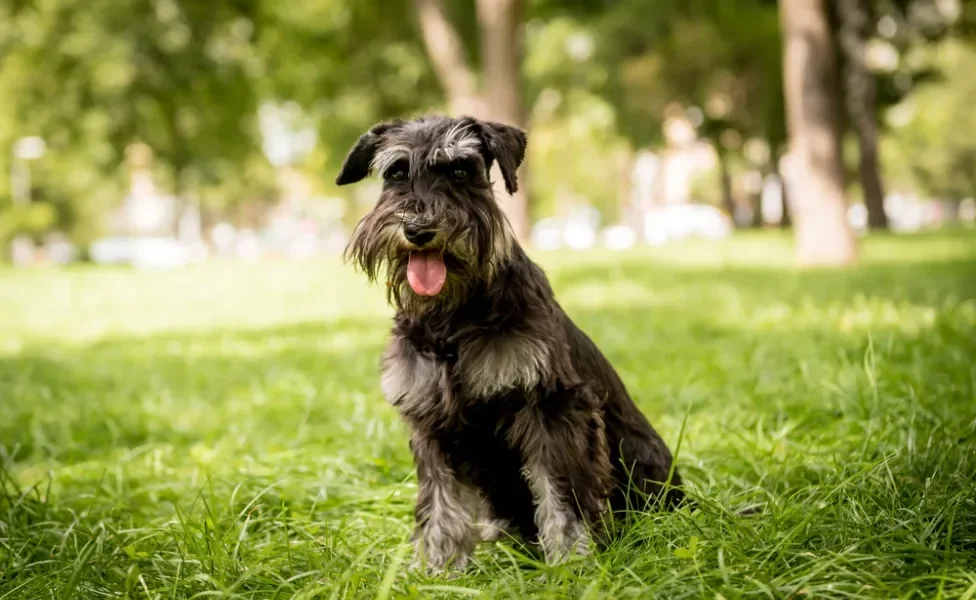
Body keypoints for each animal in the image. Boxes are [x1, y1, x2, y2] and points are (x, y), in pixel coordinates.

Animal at [336, 112, 688, 572]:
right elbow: (440, 501)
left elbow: (561, 491)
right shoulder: (430, 421)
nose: (419, 229)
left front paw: (570, 560)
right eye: (396, 172)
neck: (453, 315)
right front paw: (437, 567)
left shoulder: (550, 405)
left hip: (637, 456)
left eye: (461, 170)